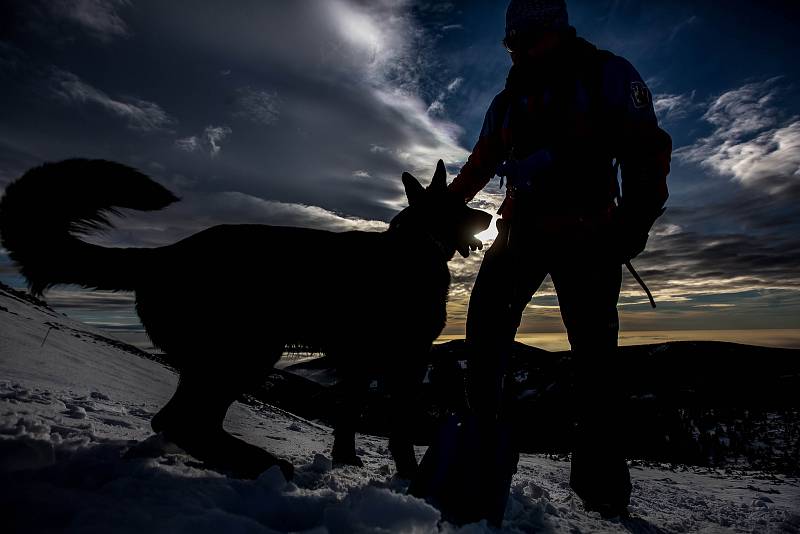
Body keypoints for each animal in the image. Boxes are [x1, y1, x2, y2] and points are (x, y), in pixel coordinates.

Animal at [0, 159, 490, 482]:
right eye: (461, 204)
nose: (489, 215)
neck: (416, 242)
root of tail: (161, 256)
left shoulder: (359, 364)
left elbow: (348, 415)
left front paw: (346, 461)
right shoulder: (405, 360)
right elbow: (401, 427)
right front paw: (409, 476)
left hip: (221, 361)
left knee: (182, 421)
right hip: (249, 353)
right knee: (183, 421)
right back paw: (264, 464)